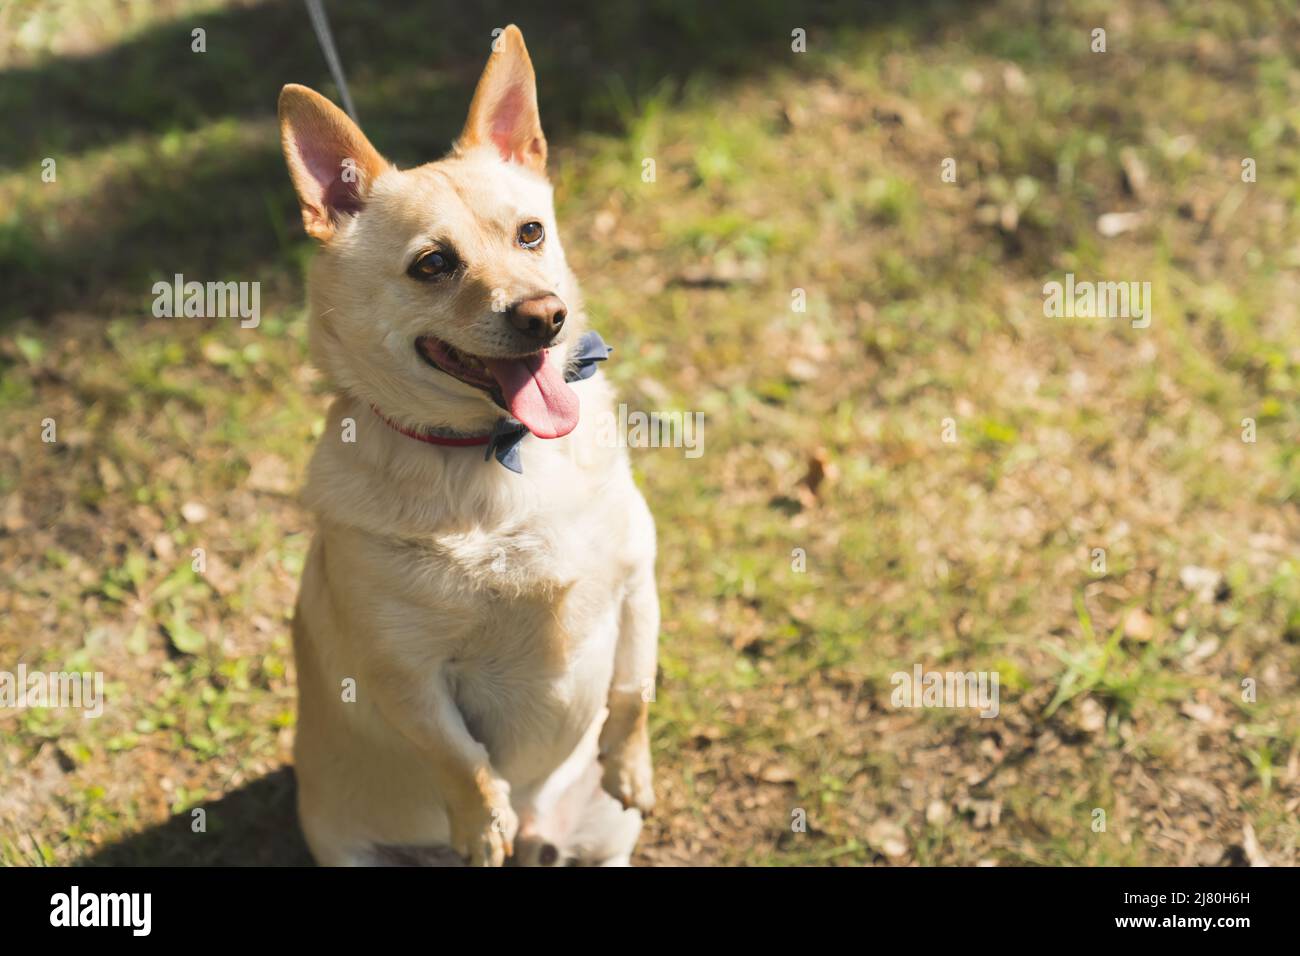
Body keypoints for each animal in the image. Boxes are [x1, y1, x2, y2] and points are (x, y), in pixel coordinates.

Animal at [278, 27, 655, 868]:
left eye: (531, 233)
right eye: (433, 265)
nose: (545, 315)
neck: (497, 454)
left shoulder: (637, 576)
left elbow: (634, 689)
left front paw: (631, 763)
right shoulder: (407, 674)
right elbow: (460, 759)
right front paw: (483, 826)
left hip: (606, 836)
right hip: (341, 843)